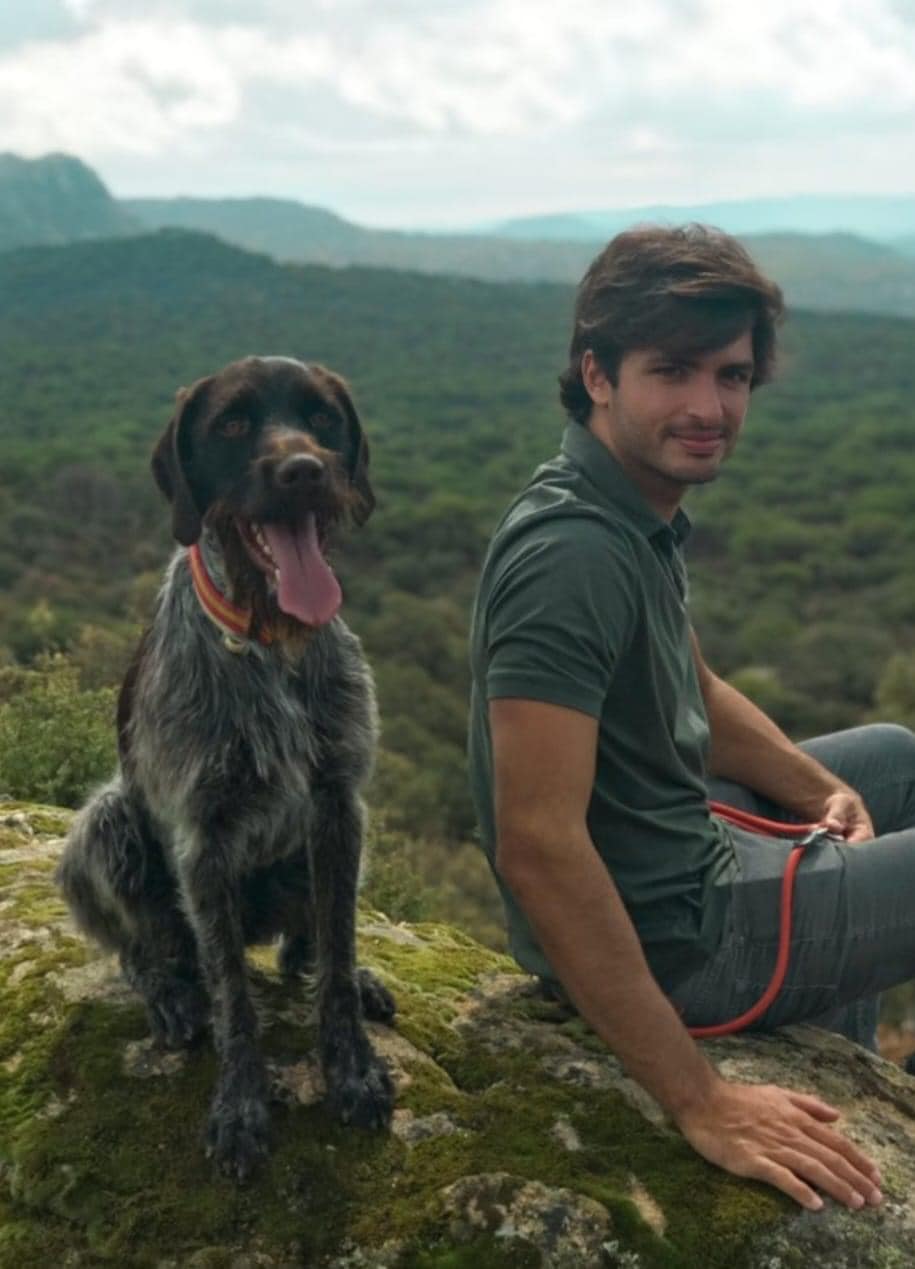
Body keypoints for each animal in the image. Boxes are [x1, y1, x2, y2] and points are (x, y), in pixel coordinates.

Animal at [55, 355, 393, 1177]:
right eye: (233, 424)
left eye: (322, 417)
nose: (304, 471)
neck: (268, 641)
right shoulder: (201, 839)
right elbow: (234, 998)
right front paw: (241, 1107)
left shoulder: (339, 804)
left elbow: (336, 953)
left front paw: (352, 1066)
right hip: (109, 823)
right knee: (150, 949)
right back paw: (171, 994)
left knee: (306, 948)